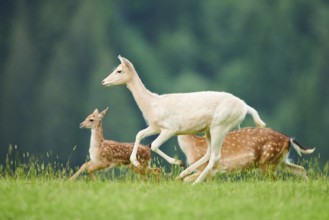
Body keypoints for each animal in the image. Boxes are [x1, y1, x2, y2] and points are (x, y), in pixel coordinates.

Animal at [101, 55, 266, 184]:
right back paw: (183, 174)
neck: (152, 104)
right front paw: (134, 161)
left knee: (215, 156)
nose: (103, 81)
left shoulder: (170, 128)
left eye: (119, 70)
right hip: (209, 129)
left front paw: (177, 162)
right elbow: (139, 134)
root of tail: (245, 107)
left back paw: (195, 181)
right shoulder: (155, 126)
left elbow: (154, 145)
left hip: (221, 125)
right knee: (209, 153)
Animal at [178, 126, 314, 181]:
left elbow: (186, 180)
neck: (191, 147)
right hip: (281, 160)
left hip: (267, 161)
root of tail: (288, 139)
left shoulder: (207, 169)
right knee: (300, 169)